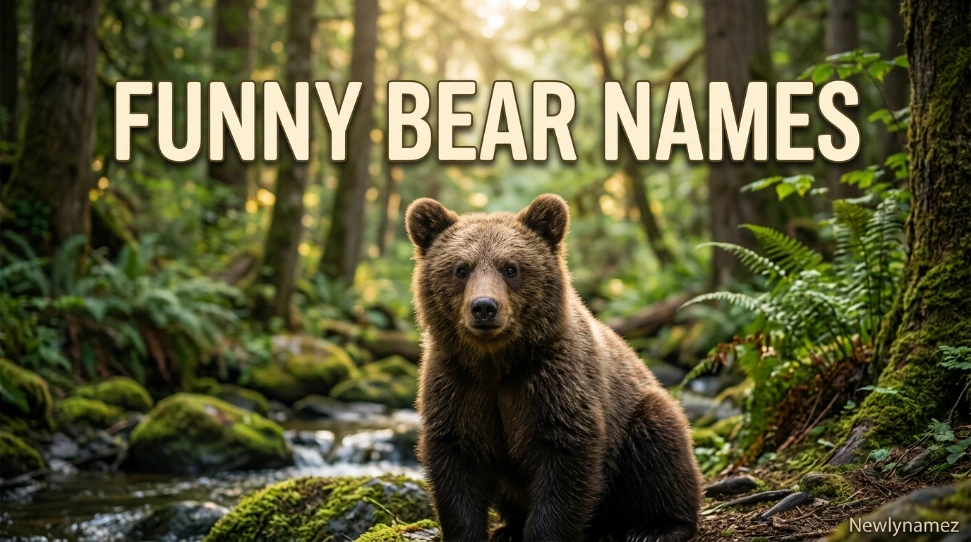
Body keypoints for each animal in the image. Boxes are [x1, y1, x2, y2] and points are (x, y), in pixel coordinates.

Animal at [406, 194, 702, 542]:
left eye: (511, 268)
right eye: (461, 269)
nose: (484, 307)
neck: (497, 363)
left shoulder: (556, 382)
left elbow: (564, 459)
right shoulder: (457, 383)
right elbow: (456, 461)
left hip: (638, 411)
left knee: (659, 443)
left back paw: (656, 528)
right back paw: (509, 529)